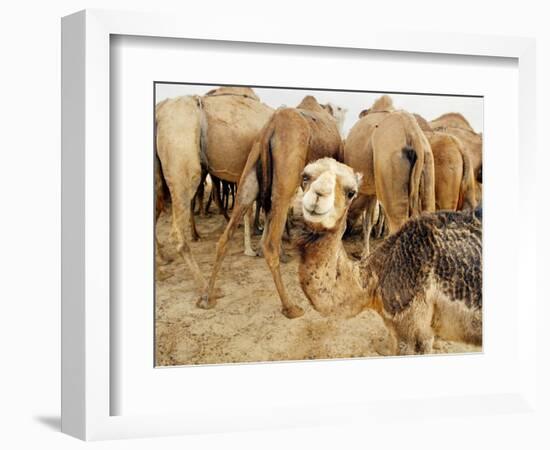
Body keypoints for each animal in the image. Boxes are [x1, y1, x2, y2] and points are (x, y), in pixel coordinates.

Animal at [198, 96, 344, 320]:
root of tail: (270, 128)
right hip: (286, 172)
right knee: (270, 241)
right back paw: (290, 306)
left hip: (251, 170)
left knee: (226, 235)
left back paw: (207, 298)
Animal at [344, 94, 436, 255]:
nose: (347, 233)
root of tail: (413, 135)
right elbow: (368, 219)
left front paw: (364, 254)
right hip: (427, 161)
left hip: (390, 163)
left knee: (398, 221)